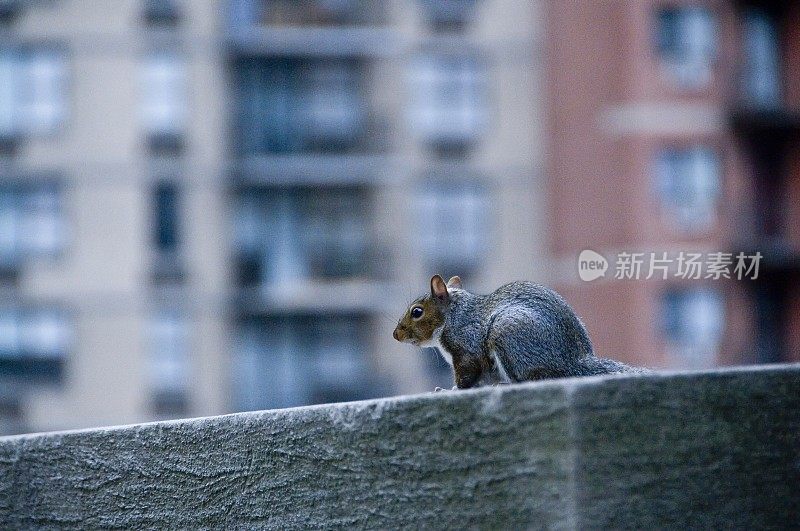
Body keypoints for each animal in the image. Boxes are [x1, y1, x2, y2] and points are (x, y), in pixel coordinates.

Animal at [394, 276, 644, 388]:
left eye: (417, 312)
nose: (396, 335)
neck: (453, 317)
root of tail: (571, 363)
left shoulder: (467, 346)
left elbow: (467, 374)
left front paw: (451, 389)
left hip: (507, 334)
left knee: (527, 378)